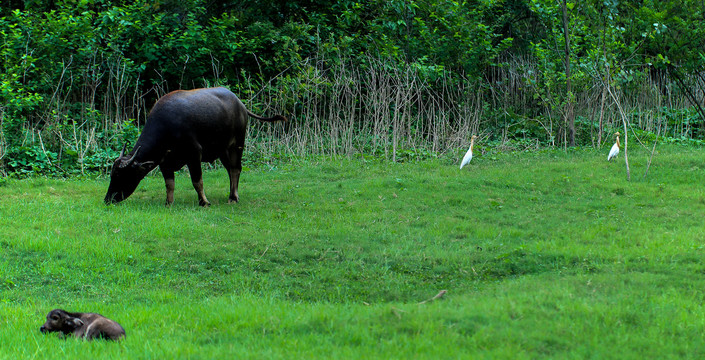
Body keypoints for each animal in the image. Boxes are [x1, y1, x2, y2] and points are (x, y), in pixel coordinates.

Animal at [103, 86, 284, 207]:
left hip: (237, 144)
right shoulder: (164, 161)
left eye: (121, 175)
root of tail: (241, 105)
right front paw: (169, 203)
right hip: (223, 150)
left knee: (235, 169)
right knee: (230, 169)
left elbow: (197, 180)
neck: (167, 127)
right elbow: (169, 184)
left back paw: (233, 198)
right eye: (112, 175)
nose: (108, 199)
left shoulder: (194, 154)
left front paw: (204, 202)